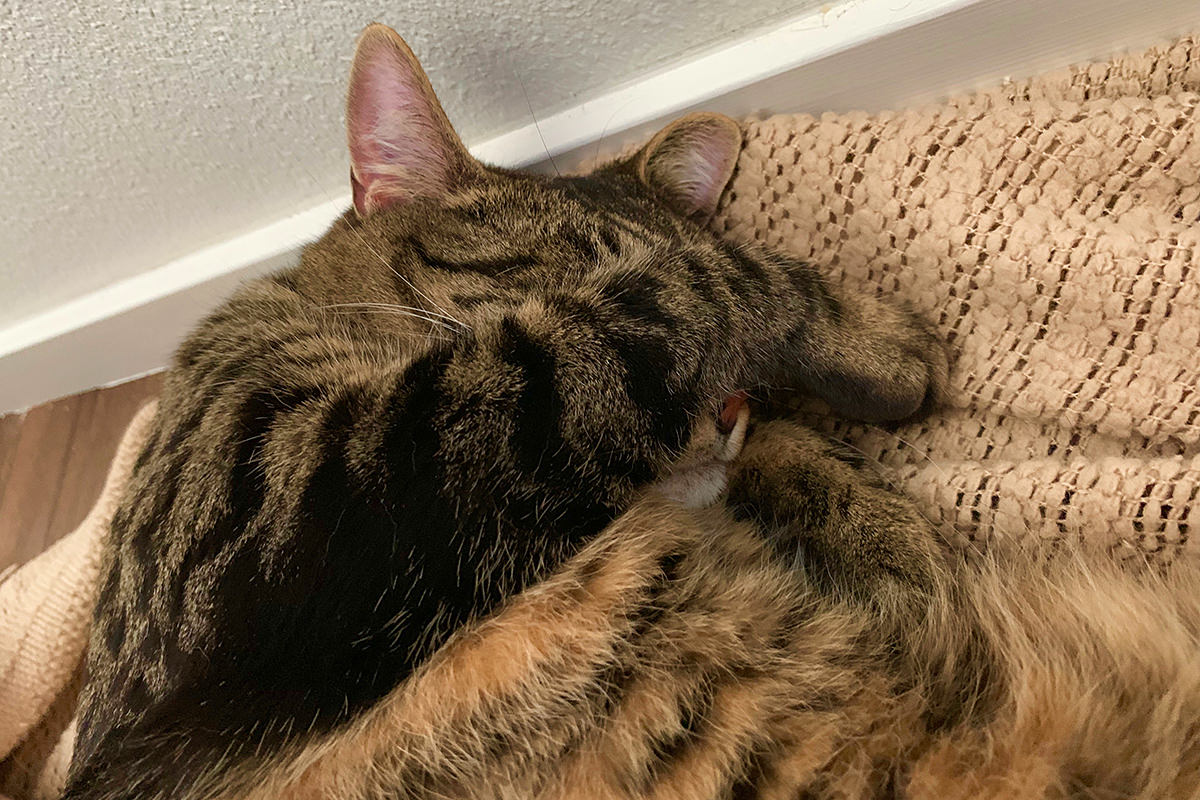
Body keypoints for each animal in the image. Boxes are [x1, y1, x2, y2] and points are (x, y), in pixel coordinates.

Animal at [65, 21, 1200, 796]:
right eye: (579, 280)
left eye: (737, 382)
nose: (733, 403)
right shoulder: (298, 511)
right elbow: (702, 281)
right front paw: (870, 341)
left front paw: (868, 499)